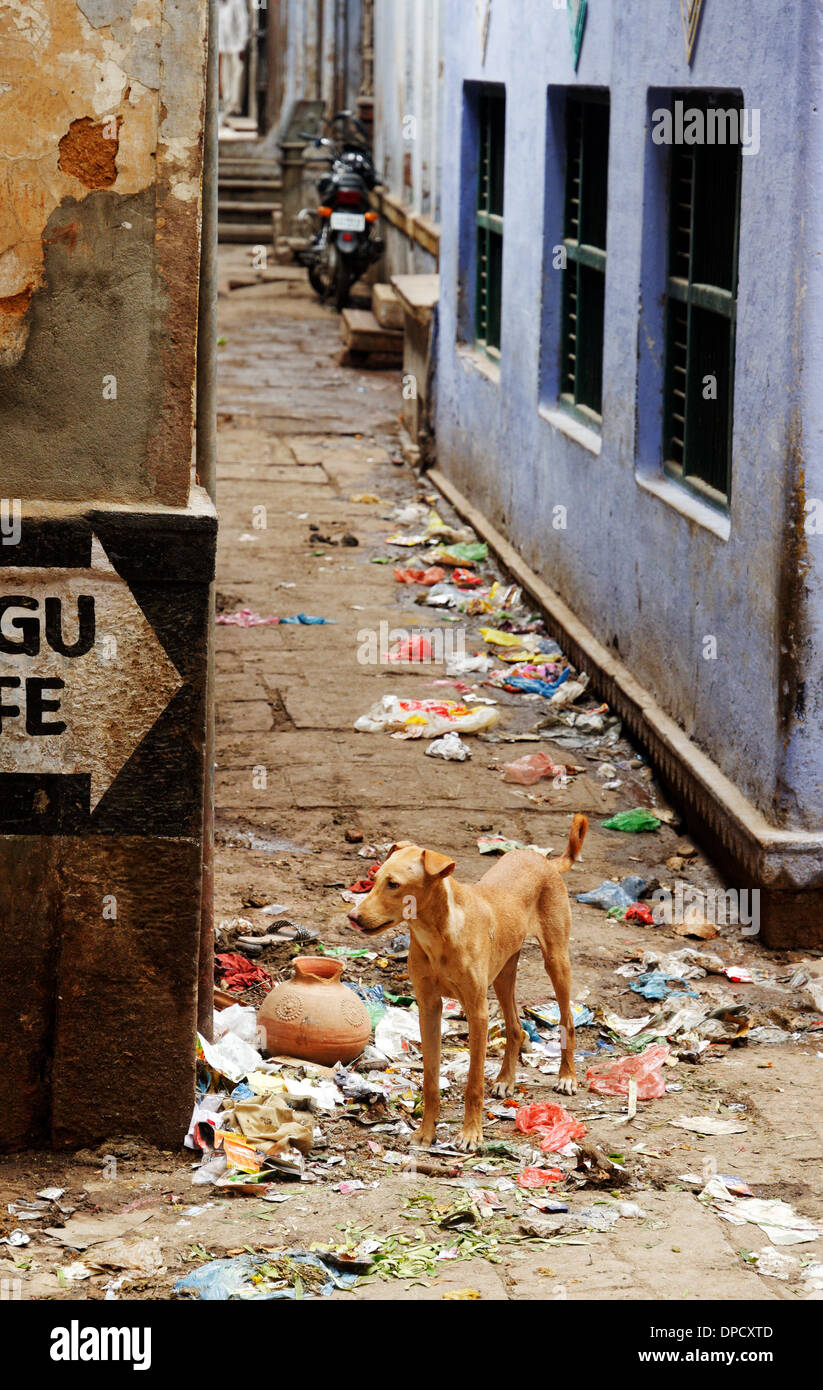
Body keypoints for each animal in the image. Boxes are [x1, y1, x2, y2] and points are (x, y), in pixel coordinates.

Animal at [350, 811, 589, 1150]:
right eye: (376, 878)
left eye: (393, 884)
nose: (353, 917)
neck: (438, 933)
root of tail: (544, 861)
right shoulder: (429, 1007)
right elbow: (430, 1078)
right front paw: (427, 1131)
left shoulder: (477, 1012)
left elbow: (473, 1081)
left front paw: (470, 1134)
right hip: (504, 973)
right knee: (515, 1027)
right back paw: (505, 1080)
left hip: (556, 960)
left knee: (567, 1019)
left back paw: (567, 1076)